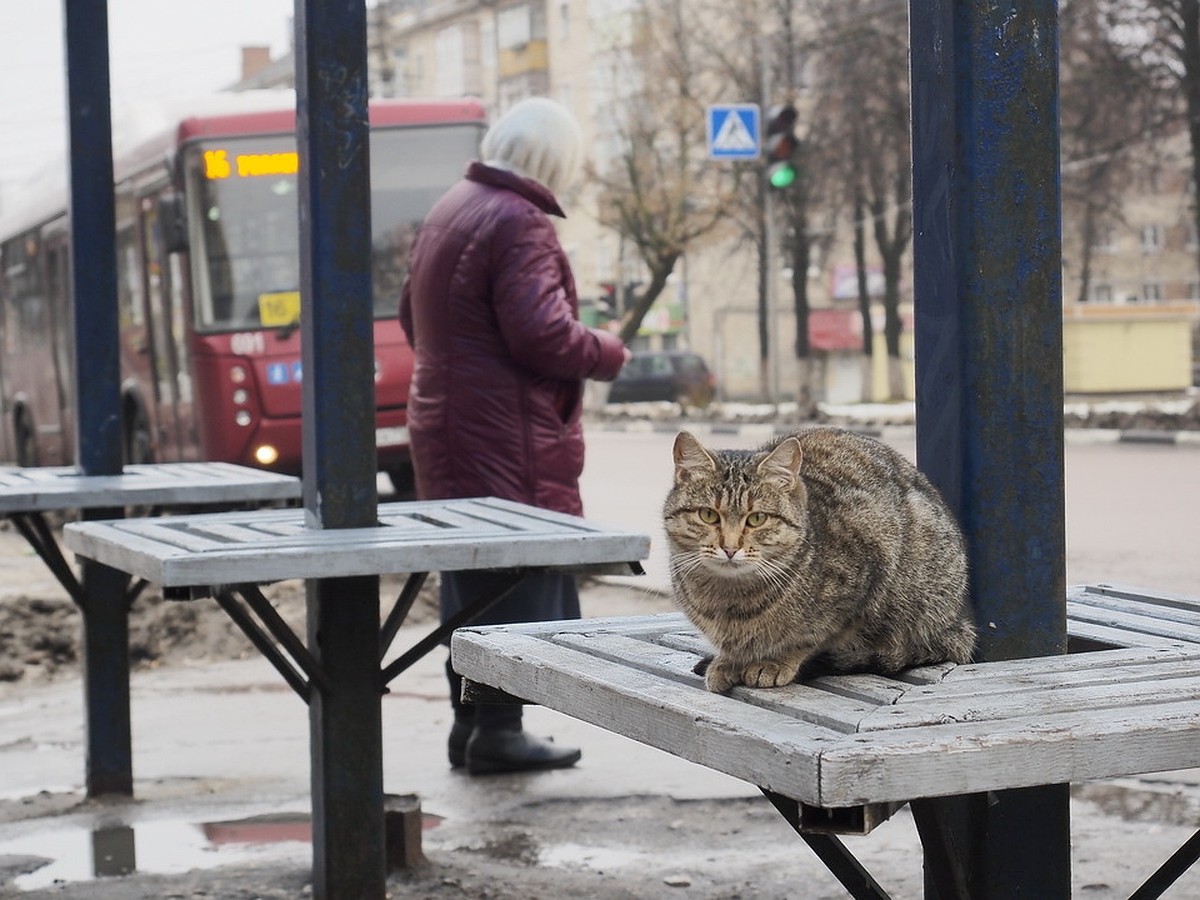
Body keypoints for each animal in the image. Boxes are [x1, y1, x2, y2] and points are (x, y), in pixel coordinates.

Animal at [662, 429, 979, 696]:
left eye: (757, 519)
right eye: (708, 515)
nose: (729, 548)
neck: (730, 599)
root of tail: (958, 622)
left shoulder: (867, 576)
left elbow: (810, 637)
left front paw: (775, 661)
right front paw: (728, 660)